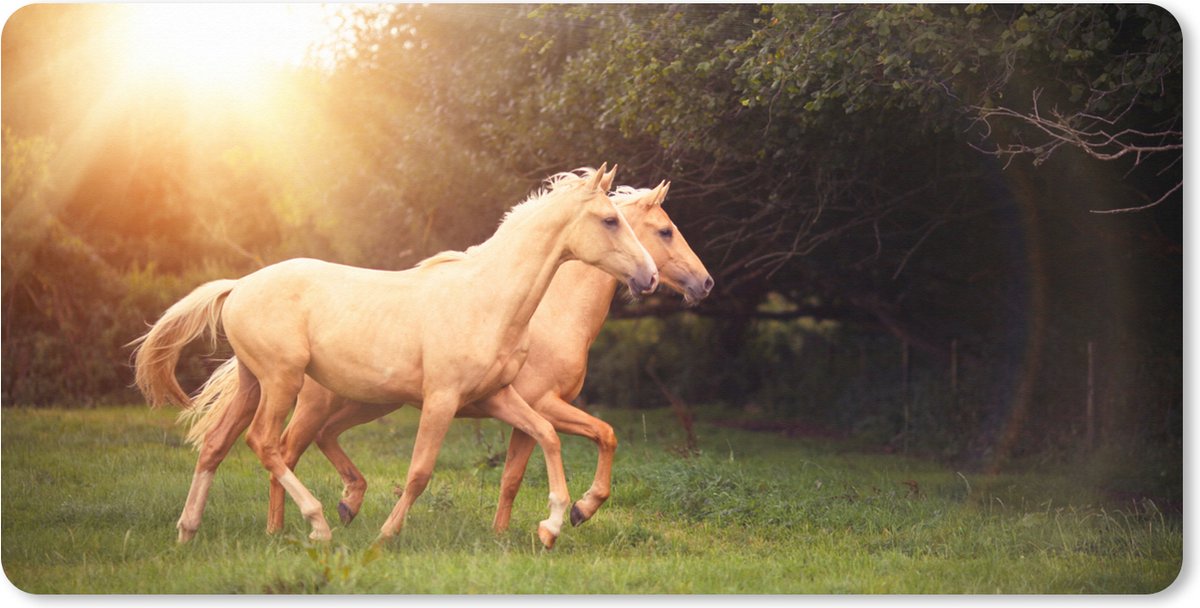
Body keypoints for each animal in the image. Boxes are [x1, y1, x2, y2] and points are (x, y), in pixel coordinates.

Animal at [131, 165, 659, 548]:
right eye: (611, 220)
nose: (650, 276)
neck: (487, 298)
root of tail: (239, 286)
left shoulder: (498, 397)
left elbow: (547, 436)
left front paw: (554, 524)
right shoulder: (442, 399)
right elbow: (420, 472)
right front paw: (386, 534)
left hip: (253, 382)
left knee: (216, 444)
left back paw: (188, 531)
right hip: (283, 382)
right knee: (266, 444)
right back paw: (318, 524)